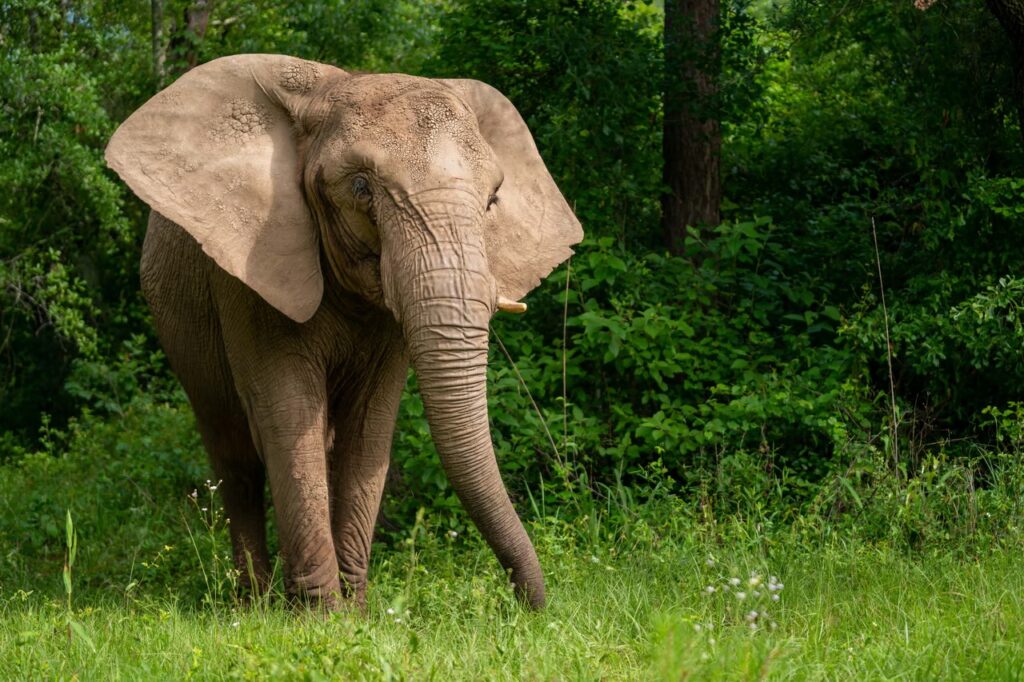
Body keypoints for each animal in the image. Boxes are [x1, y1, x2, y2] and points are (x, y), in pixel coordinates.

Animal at [104, 54, 582, 610]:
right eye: (360, 188)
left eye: (492, 201)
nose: (529, 607)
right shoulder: (250, 274)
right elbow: (289, 414)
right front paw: (320, 616)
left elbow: (369, 426)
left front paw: (354, 612)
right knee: (235, 457)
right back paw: (253, 603)